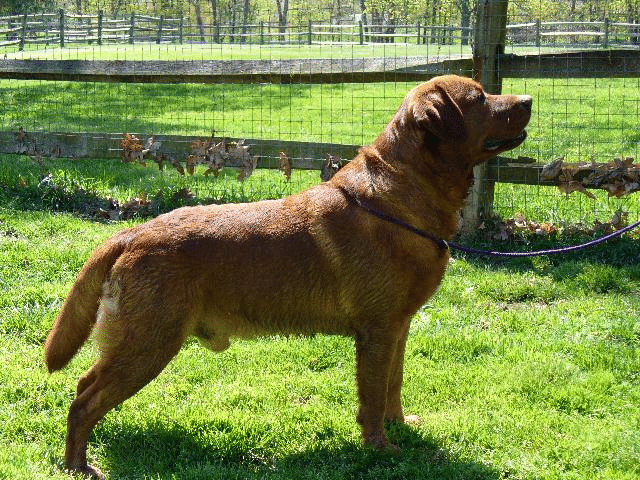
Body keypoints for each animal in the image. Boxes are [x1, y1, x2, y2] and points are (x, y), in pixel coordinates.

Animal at [44, 75, 531, 478]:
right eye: (480, 98)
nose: (528, 99)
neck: (397, 201)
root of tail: (130, 233)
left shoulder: (399, 326)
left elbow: (393, 383)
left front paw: (400, 425)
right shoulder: (377, 330)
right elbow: (373, 395)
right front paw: (380, 448)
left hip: (137, 342)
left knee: (83, 387)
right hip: (148, 343)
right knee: (84, 401)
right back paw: (77, 466)